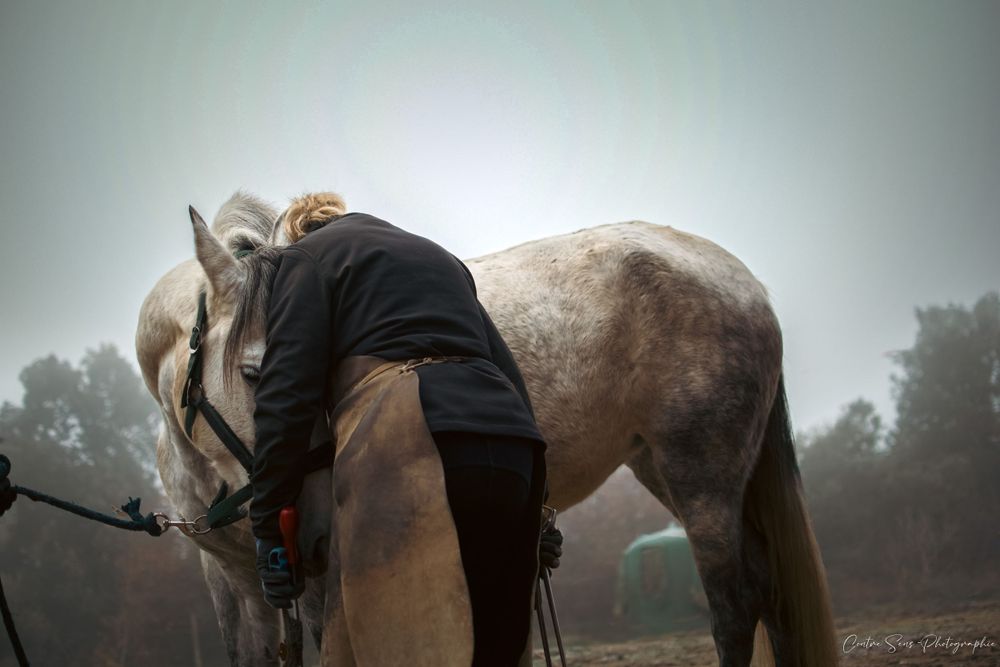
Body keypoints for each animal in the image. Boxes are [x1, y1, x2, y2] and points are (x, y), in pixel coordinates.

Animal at [135, 191, 837, 666]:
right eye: (257, 370)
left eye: (275, 366)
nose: (309, 523)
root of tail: (741, 282)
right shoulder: (237, 584)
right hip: (667, 470)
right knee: (769, 591)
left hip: (701, 477)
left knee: (735, 602)